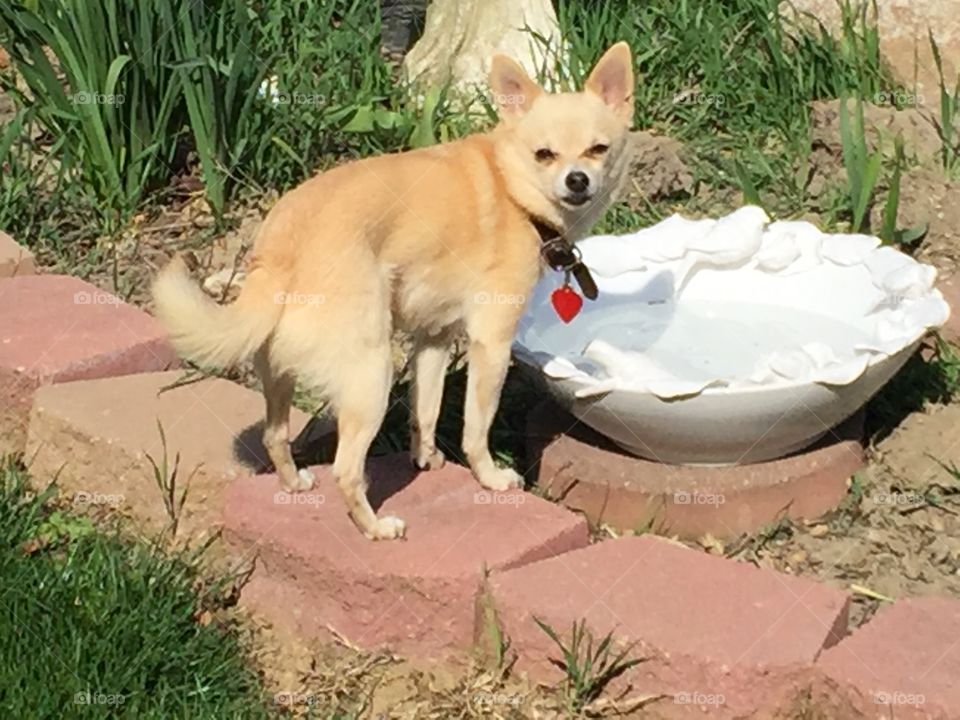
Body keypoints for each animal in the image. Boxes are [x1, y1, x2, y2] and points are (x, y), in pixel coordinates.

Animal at [150, 42, 632, 540]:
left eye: (598, 150)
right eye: (544, 155)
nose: (577, 180)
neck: (511, 188)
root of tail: (279, 248)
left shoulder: (435, 338)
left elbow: (426, 408)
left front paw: (425, 457)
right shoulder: (491, 345)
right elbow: (476, 428)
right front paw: (490, 477)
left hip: (280, 369)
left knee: (275, 434)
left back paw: (295, 481)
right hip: (372, 373)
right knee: (346, 469)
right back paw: (375, 527)